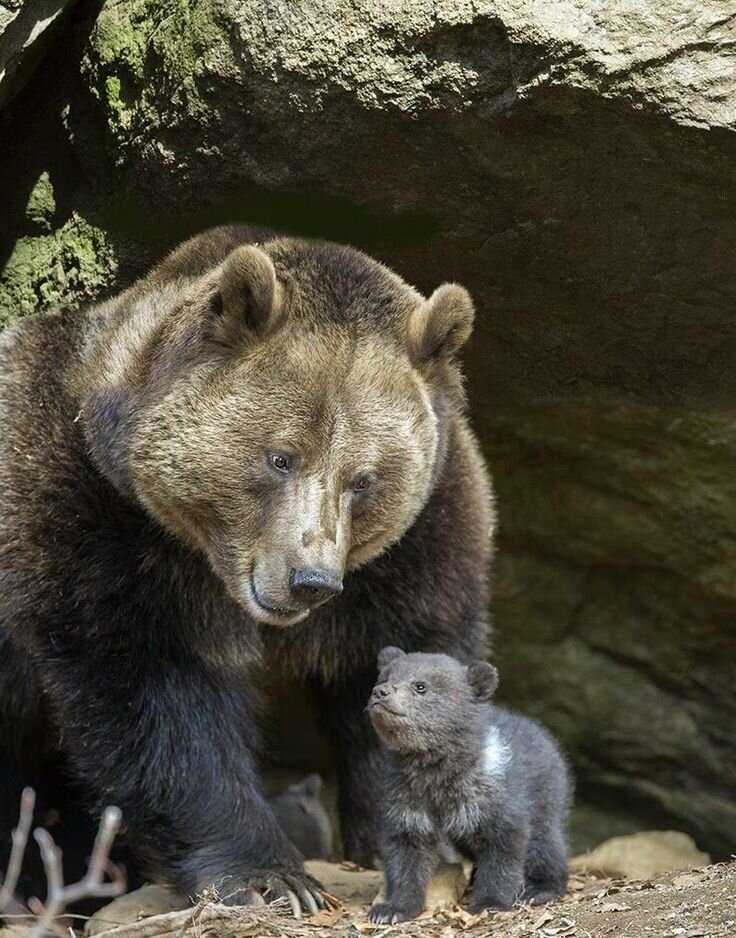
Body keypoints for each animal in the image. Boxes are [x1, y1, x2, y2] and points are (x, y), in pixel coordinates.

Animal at [1, 223, 494, 912]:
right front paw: (272, 876)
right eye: (280, 457)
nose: (309, 580)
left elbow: (412, 657)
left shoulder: (419, 546)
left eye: (364, 479)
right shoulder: (90, 521)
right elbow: (157, 694)